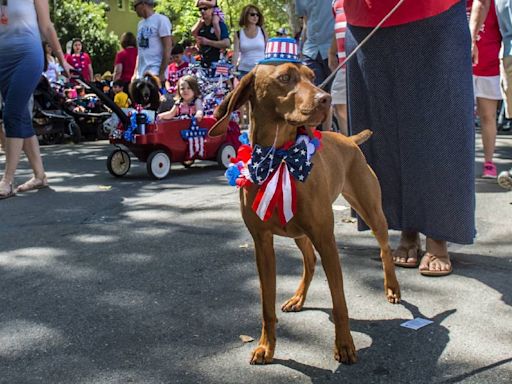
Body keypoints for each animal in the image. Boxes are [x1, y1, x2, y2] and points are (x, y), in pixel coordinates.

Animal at [209, 63, 400, 366]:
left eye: (312, 77)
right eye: (285, 77)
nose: (326, 99)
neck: (279, 158)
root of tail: (347, 139)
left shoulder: (326, 239)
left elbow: (339, 302)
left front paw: (344, 345)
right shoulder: (262, 243)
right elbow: (266, 305)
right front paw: (266, 347)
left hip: (371, 211)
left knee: (384, 249)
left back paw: (392, 288)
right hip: (298, 232)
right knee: (309, 261)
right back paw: (298, 298)